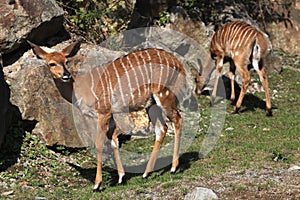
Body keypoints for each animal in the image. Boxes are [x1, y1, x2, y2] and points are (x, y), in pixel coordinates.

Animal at [27, 40, 188, 191]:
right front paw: (121, 177)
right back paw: (146, 173)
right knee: (162, 128)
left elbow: (99, 144)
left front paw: (97, 184)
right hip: (151, 104)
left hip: (164, 94)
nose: (66, 75)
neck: (79, 89)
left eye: (66, 61)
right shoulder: (109, 115)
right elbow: (113, 141)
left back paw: (173, 168)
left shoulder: (103, 112)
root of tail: (179, 64)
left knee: (178, 119)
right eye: (52, 63)